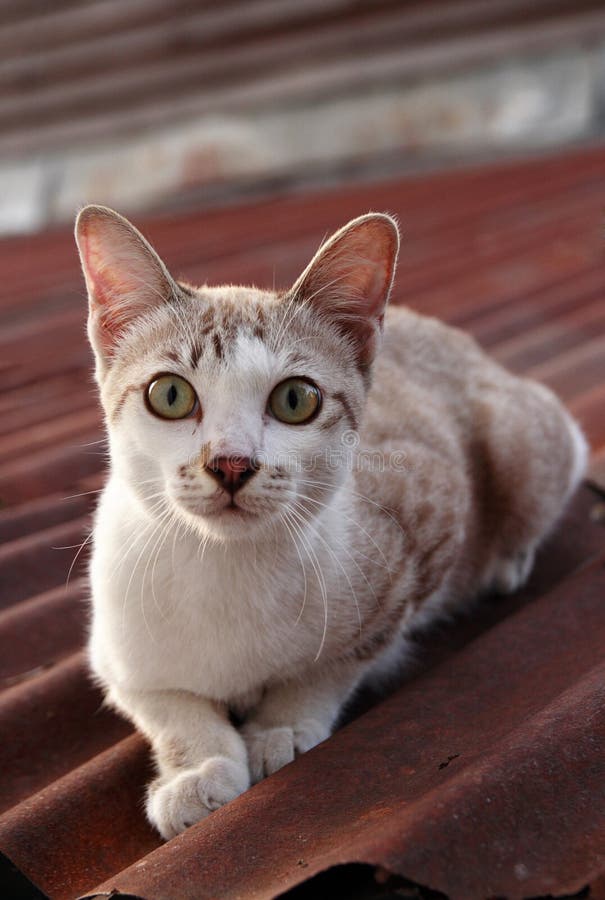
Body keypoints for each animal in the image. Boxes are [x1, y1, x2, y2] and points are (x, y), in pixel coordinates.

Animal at [73, 204, 588, 836]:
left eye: (296, 400)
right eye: (169, 394)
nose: (231, 463)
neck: (226, 567)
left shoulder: (426, 524)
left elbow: (337, 664)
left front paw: (282, 727)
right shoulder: (113, 652)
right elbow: (167, 705)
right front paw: (199, 772)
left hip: (520, 445)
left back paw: (507, 562)